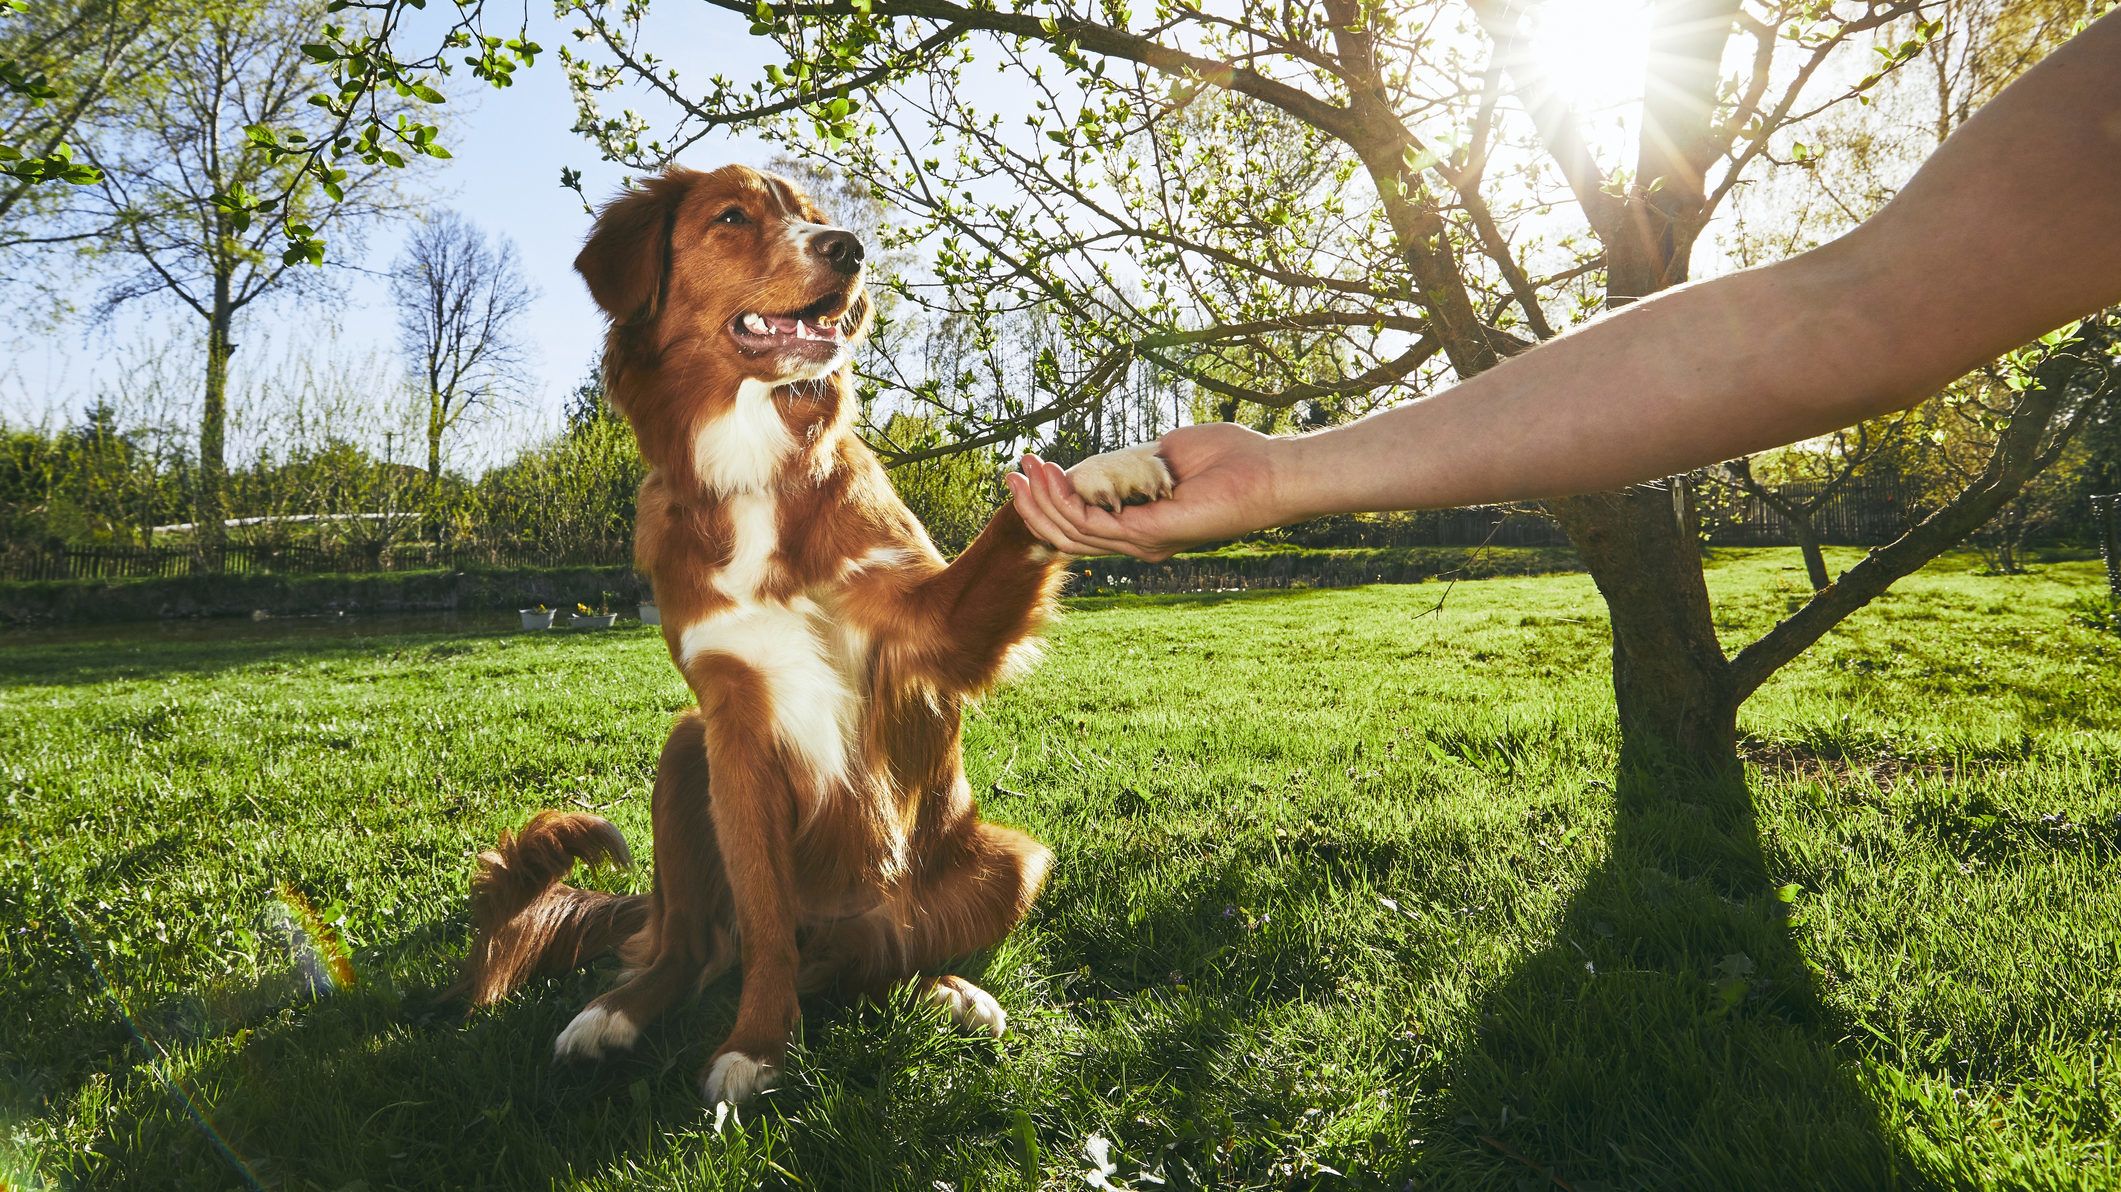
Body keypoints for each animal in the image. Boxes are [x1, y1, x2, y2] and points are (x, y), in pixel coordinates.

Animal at [451, 162, 1179, 1102]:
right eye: (732, 217)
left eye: (815, 216)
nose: (851, 249)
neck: (755, 465)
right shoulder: (733, 722)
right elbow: (763, 921)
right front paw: (760, 1043)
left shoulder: (929, 629)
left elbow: (1015, 515)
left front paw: (1100, 473)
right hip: (684, 752)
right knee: (689, 947)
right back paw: (614, 1014)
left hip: (1010, 863)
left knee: (881, 961)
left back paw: (948, 992)